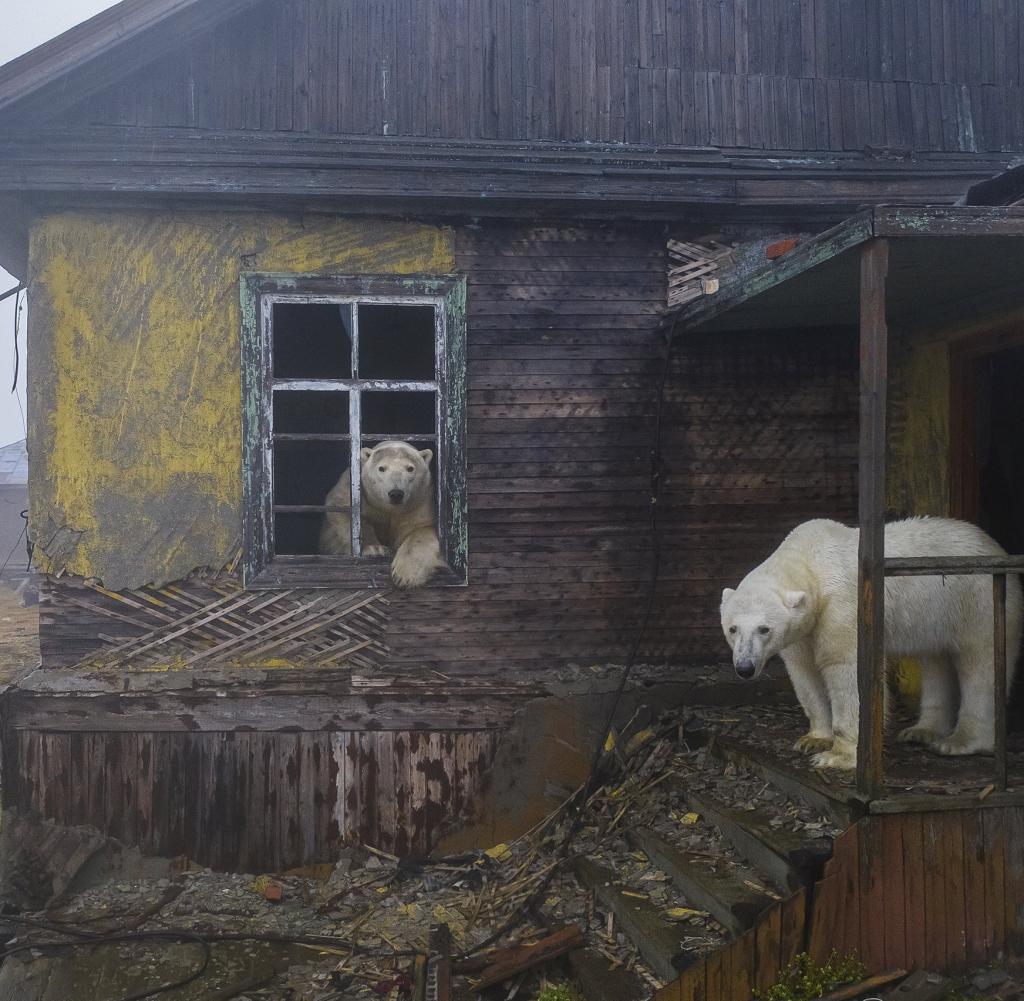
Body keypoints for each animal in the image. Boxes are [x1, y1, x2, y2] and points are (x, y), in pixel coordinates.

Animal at [317, 438, 446, 585]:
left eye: (410, 468)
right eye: (381, 468)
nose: (396, 493)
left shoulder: (420, 501)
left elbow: (422, 530)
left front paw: (404, 575)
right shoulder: (354, 490)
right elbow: (344, 512)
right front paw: (375, 549)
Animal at [720, 519, 1024, 769]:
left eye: (764, 629)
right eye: (733, 629)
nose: (745, 668)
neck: (810, 560)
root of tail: (995, 546)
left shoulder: (842, 607)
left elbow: (847, 670)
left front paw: (837, 756)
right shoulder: (803, 629)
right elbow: (804, 672)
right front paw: (813, 739)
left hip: (977, 600)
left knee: (981, 664)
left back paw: (959, 741)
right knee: (935, 660)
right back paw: (922, 731)